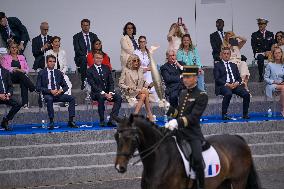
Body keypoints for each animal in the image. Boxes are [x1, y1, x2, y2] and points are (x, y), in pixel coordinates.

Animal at [113, 113, 262, 189]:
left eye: (130, 138)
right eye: (116, 136)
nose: (119, 167)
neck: (160, 160)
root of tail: (238, 138)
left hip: (238, 181)